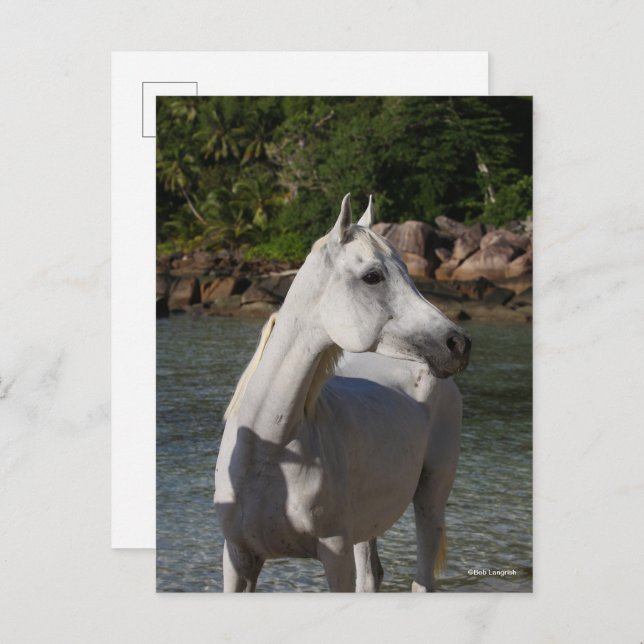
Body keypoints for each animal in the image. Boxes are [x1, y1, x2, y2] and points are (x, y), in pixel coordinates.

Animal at [214, 194, 470, 592]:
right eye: (373, 276)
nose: (458, 344)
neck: (270, 449)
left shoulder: (335, 553)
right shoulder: (238, 559)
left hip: (431, 499)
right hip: (365, 526)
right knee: (372, 575)